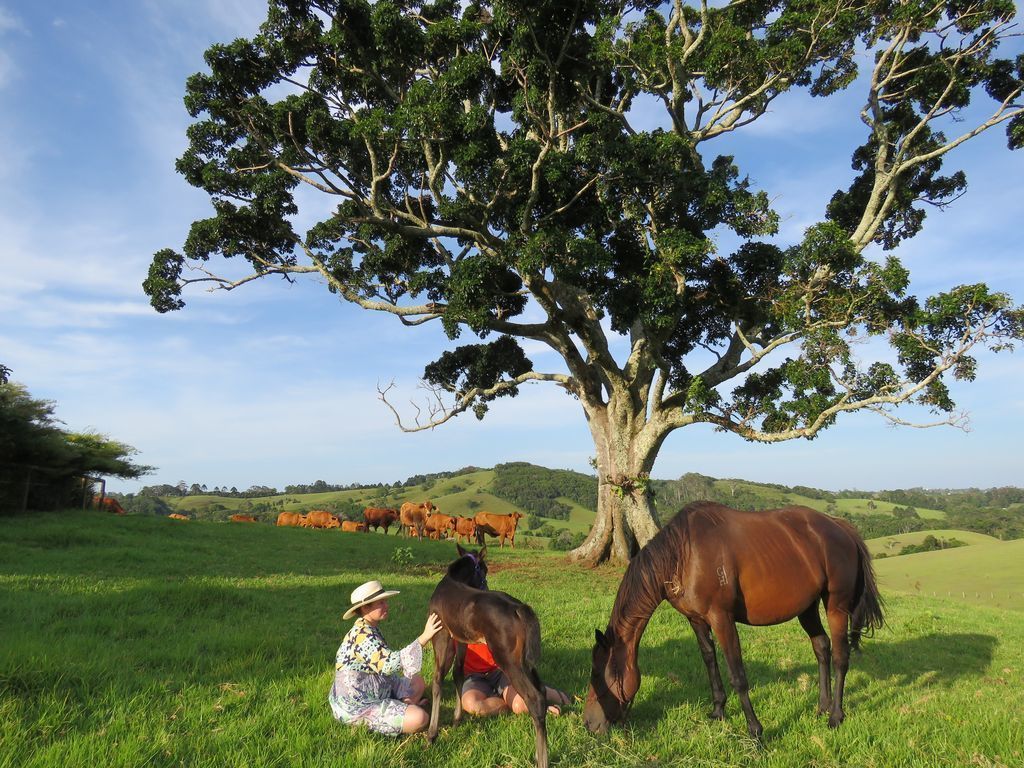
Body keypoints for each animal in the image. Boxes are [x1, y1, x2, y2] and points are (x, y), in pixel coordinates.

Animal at [425, 544, 552, 768]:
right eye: (484, 570)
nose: (485, 582)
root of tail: (519, 608)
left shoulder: (441, 633)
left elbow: (438, 678)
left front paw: (432, 734)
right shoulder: (462, 639)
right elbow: (458, 673)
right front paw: (457, 719)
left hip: (508, 660)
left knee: (534, 698)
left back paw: (542, 761)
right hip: (524, 661)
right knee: (542, 691)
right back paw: (538, 754)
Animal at [589, 501, 884, 741]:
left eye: (599, 676)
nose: (590, 724)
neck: (684, 554)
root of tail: (841, 527)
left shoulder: (722, 619)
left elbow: (738, 675)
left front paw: (755, 730)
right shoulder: (696, 620)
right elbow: (710, 661)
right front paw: (718, 710)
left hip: (836, 607)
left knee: (841, 659)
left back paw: (835, 716)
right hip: (807, 608)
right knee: (822, 647)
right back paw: (822, 707)